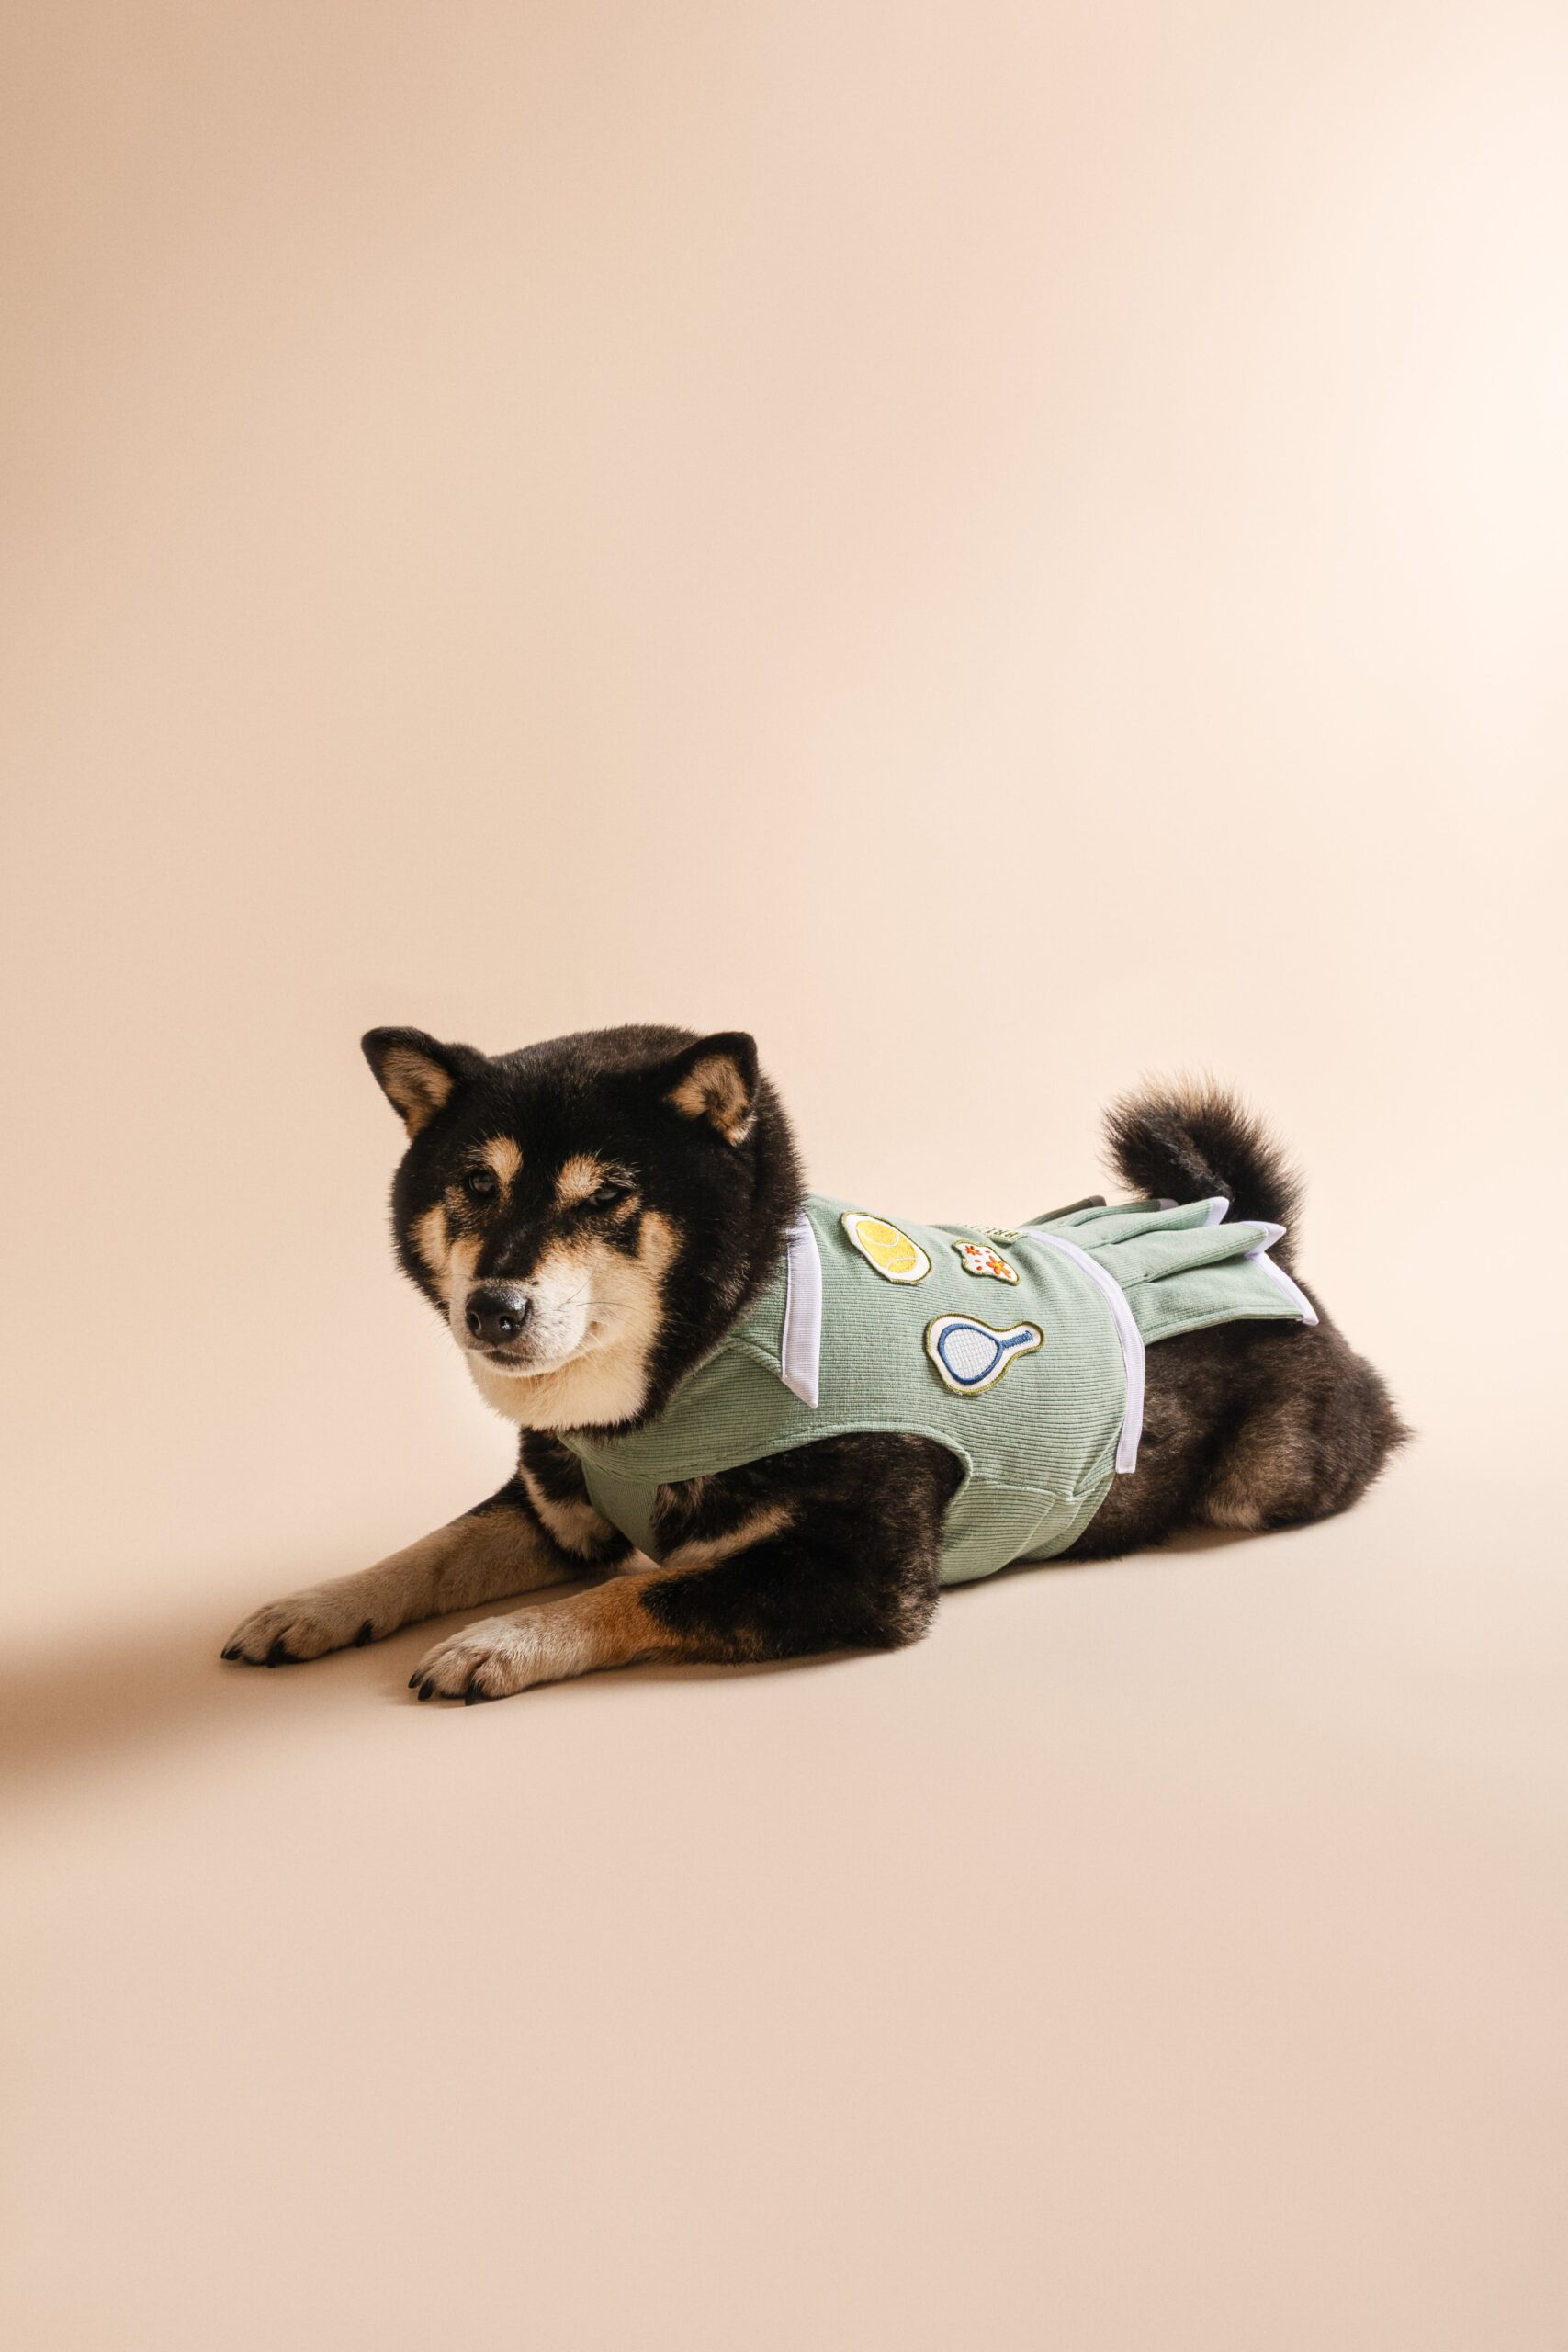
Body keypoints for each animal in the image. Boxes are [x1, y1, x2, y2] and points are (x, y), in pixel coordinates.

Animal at [222, 1025, 1408, 1702]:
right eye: (475, 1184)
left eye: (609, 1194)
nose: (494, 1307)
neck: (697, 1366)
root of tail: (1251, 1232)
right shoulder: (557, 1511)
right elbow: (426, 1552)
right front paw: (317, 1606)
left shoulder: (861, 1571)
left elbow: (642, 1589)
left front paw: (503, 1640)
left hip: (1271, 1474)